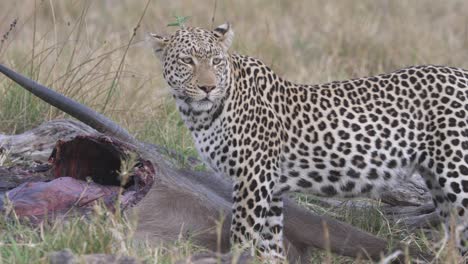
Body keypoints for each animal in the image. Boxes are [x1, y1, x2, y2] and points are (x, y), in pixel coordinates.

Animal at [149, 23, 468, 262]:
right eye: (187, 60)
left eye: (215, 61)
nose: (208, 87)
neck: (200, 114)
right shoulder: (271, 188)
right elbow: (270, 244)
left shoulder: (253, 178)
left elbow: (241, 235)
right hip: (440, 188)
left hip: (457, 175)